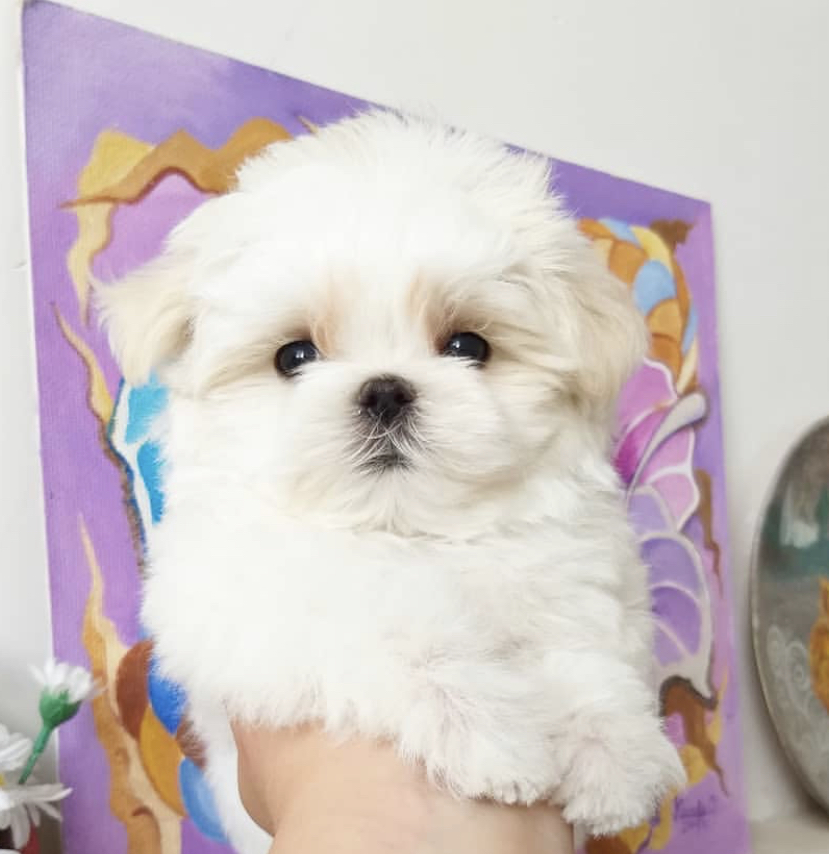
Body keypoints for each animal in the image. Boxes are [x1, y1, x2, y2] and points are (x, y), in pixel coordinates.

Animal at [97, 112, 684, 848]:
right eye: (294, 356)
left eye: (467, 346)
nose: (384, 391)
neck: (410, 528)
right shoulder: (247, 603)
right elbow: (393, 630)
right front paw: (488, 731)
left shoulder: (582, 581)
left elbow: (581, 653)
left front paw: (613, 754)